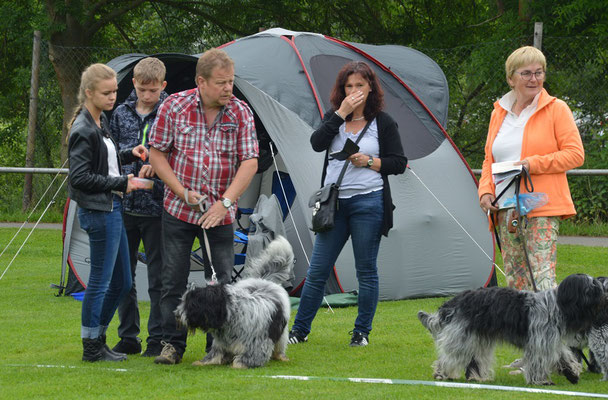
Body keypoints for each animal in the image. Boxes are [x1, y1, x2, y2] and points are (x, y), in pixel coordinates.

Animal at [175, 234, 294, 368]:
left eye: (191, 304)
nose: (176, 315)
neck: (233, 313)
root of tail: (264, 280)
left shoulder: (256, 345)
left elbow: (243, 360)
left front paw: (237, 364)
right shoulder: (222, 343)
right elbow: (216, 354)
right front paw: (204, 362)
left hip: (280, 329)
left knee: (280, 343)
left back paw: (281, 356)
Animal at [416, 274, 604, 386]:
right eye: (592, 288)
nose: (604, 295)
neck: (555, 306)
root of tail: (453, 302)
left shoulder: (550, 341)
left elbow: (563, 358)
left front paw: (572, 374)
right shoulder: (540, 343)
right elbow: (540, 362)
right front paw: (541, 381)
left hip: (477, 339)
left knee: (474, 360)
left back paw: (476, 377)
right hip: (462, 338)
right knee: (448, 358)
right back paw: (441, 374)